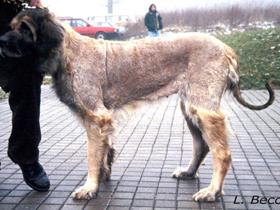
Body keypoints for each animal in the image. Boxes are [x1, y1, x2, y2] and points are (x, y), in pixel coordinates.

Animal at [0, 8, 274, 202]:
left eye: (24, 28)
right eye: (11, 26)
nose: (1, 41)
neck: (66, 52)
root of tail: (227, 49)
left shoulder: (96, 118)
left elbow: (92, 157)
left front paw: (90, 187)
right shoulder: (104, 120)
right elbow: (105, 152)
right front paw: (103, 175)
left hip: (204, 109)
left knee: (222, 153)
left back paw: (212, 191)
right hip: (190, 108)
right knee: (202, 146)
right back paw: (188, 172)